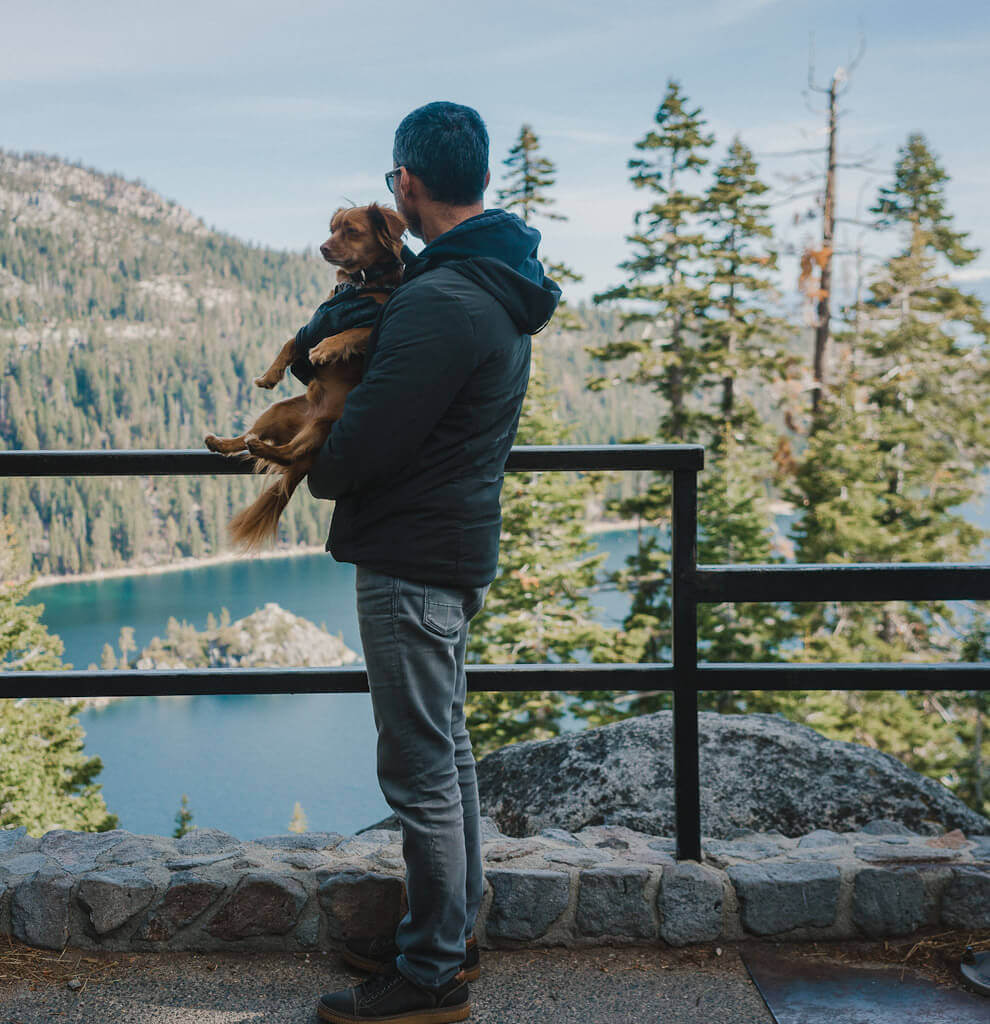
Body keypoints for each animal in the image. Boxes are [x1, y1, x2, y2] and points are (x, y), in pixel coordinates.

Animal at [204, 202, 407, 548]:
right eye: (332, 230)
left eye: (351, 231)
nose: (323, 247)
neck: (361, 284)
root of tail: (309, 420)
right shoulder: (323, 312)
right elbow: (293, 340)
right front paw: (270, 375)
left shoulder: (375, 318)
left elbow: (352, 330)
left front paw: (325, 348)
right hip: (277, 411)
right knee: (249, 437)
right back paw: (223, 442)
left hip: (323, 429)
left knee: (288, 454)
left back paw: (265, 449)